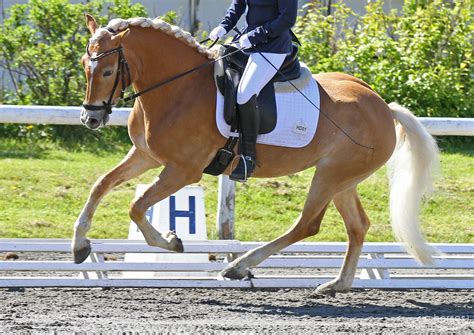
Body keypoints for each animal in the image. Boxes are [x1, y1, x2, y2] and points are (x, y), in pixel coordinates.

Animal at [72, 15, 438, 294]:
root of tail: (383, 106)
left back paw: (238, 266)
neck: (178, 88)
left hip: (331, 175)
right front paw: (79, 245)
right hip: (343, 180)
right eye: (85, 66)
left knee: (307, 224)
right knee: (357, 226)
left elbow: (136, 206)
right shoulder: (145, 155)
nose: (90, 119)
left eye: (107, 71)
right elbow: (101, 185)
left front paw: (172, 241)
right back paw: (337, 284)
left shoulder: (183, 171)